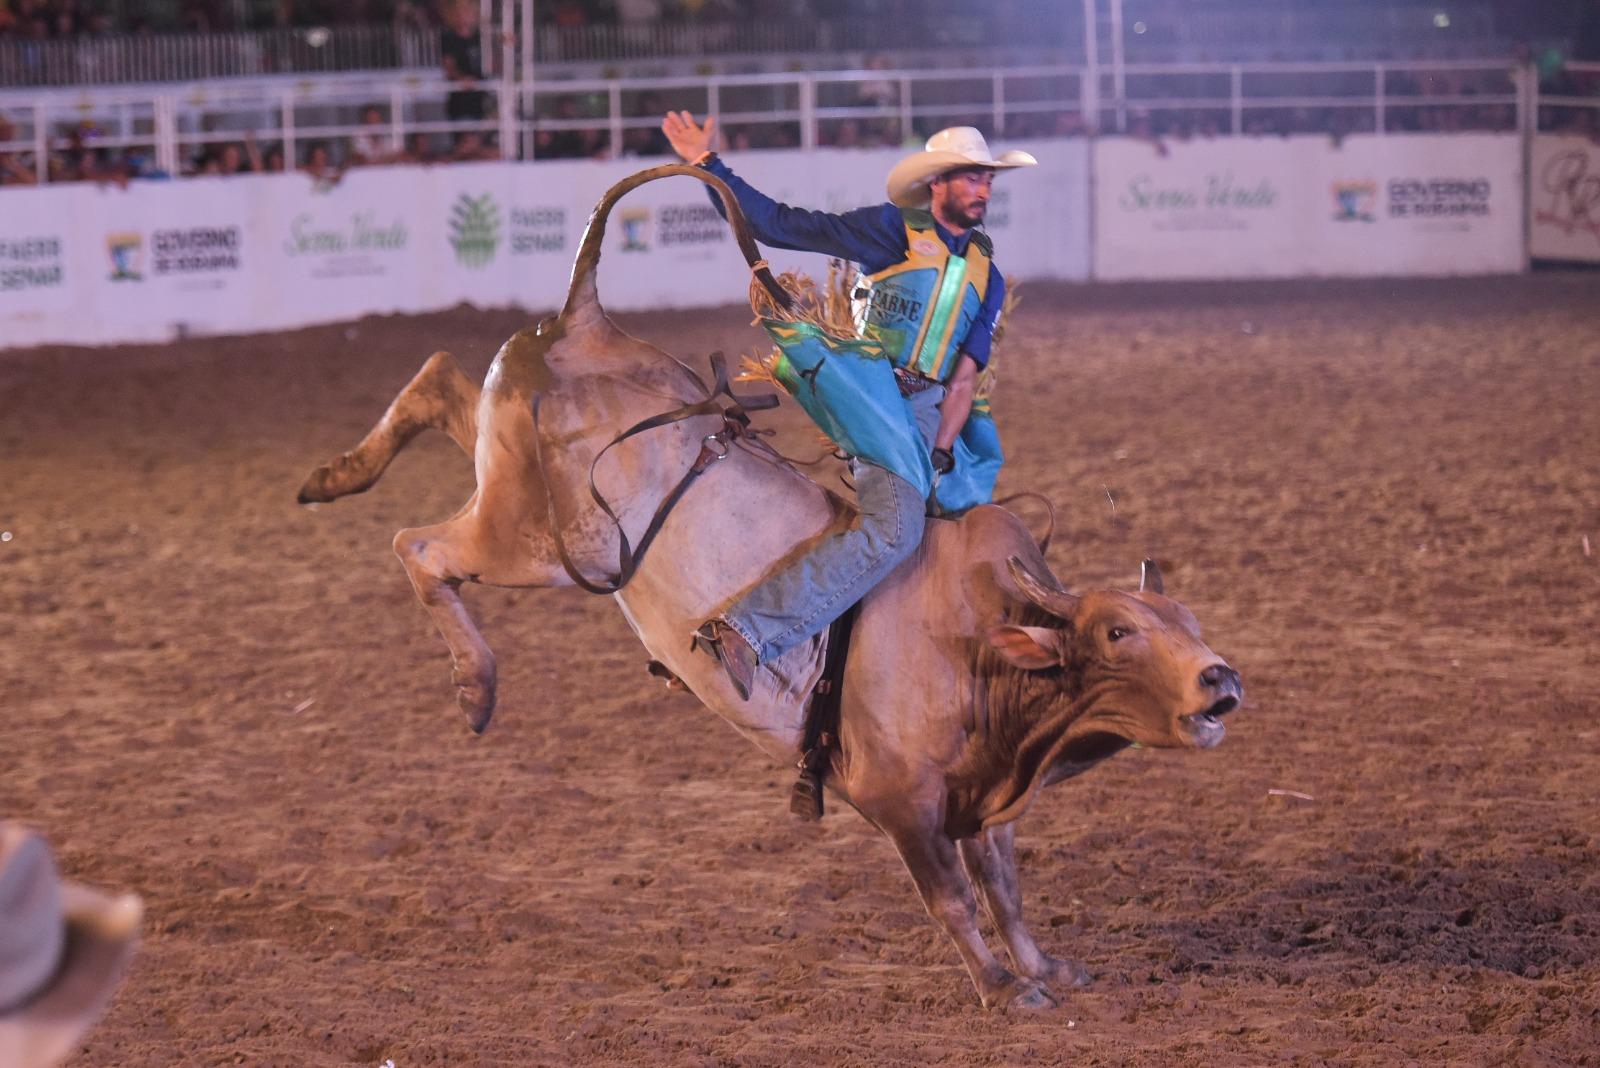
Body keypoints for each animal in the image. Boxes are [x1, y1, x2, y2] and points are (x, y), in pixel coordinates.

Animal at [302, 164, 1248, 1010]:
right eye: (1120, 631)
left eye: (1187, 617)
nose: (1222, 679)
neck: (986, 644)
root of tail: (583, 322)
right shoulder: (902, 801)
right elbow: (950, 898)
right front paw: (1003, 989)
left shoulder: (987, 801)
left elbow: (1005, 888)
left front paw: (1047, 968)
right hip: (543, 541)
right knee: (420, 546)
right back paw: (475, 685)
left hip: (510, 474)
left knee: (438, 378)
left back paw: (334, 474)